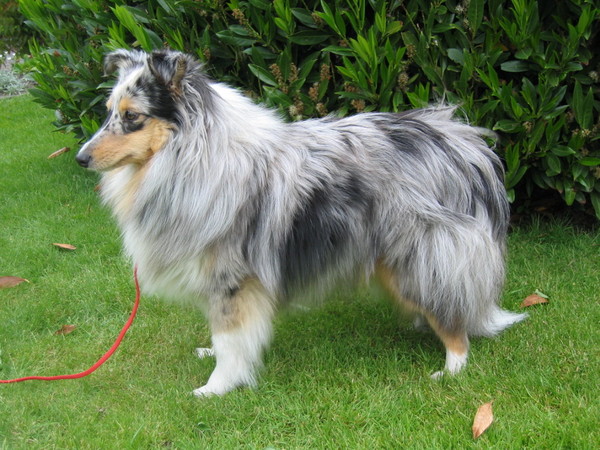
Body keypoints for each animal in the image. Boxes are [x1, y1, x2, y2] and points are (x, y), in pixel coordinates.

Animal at [76, 49, 526, 396]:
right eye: (108, 113)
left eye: (132, 117)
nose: (81, 158)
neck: (195, 155)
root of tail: (465, 145)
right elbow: (224, 335)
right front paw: (215, 357)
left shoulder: (232, 279)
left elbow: (229, 337)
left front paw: (215, 388)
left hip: (419, 255)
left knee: (455, 321)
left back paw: (451, 369)